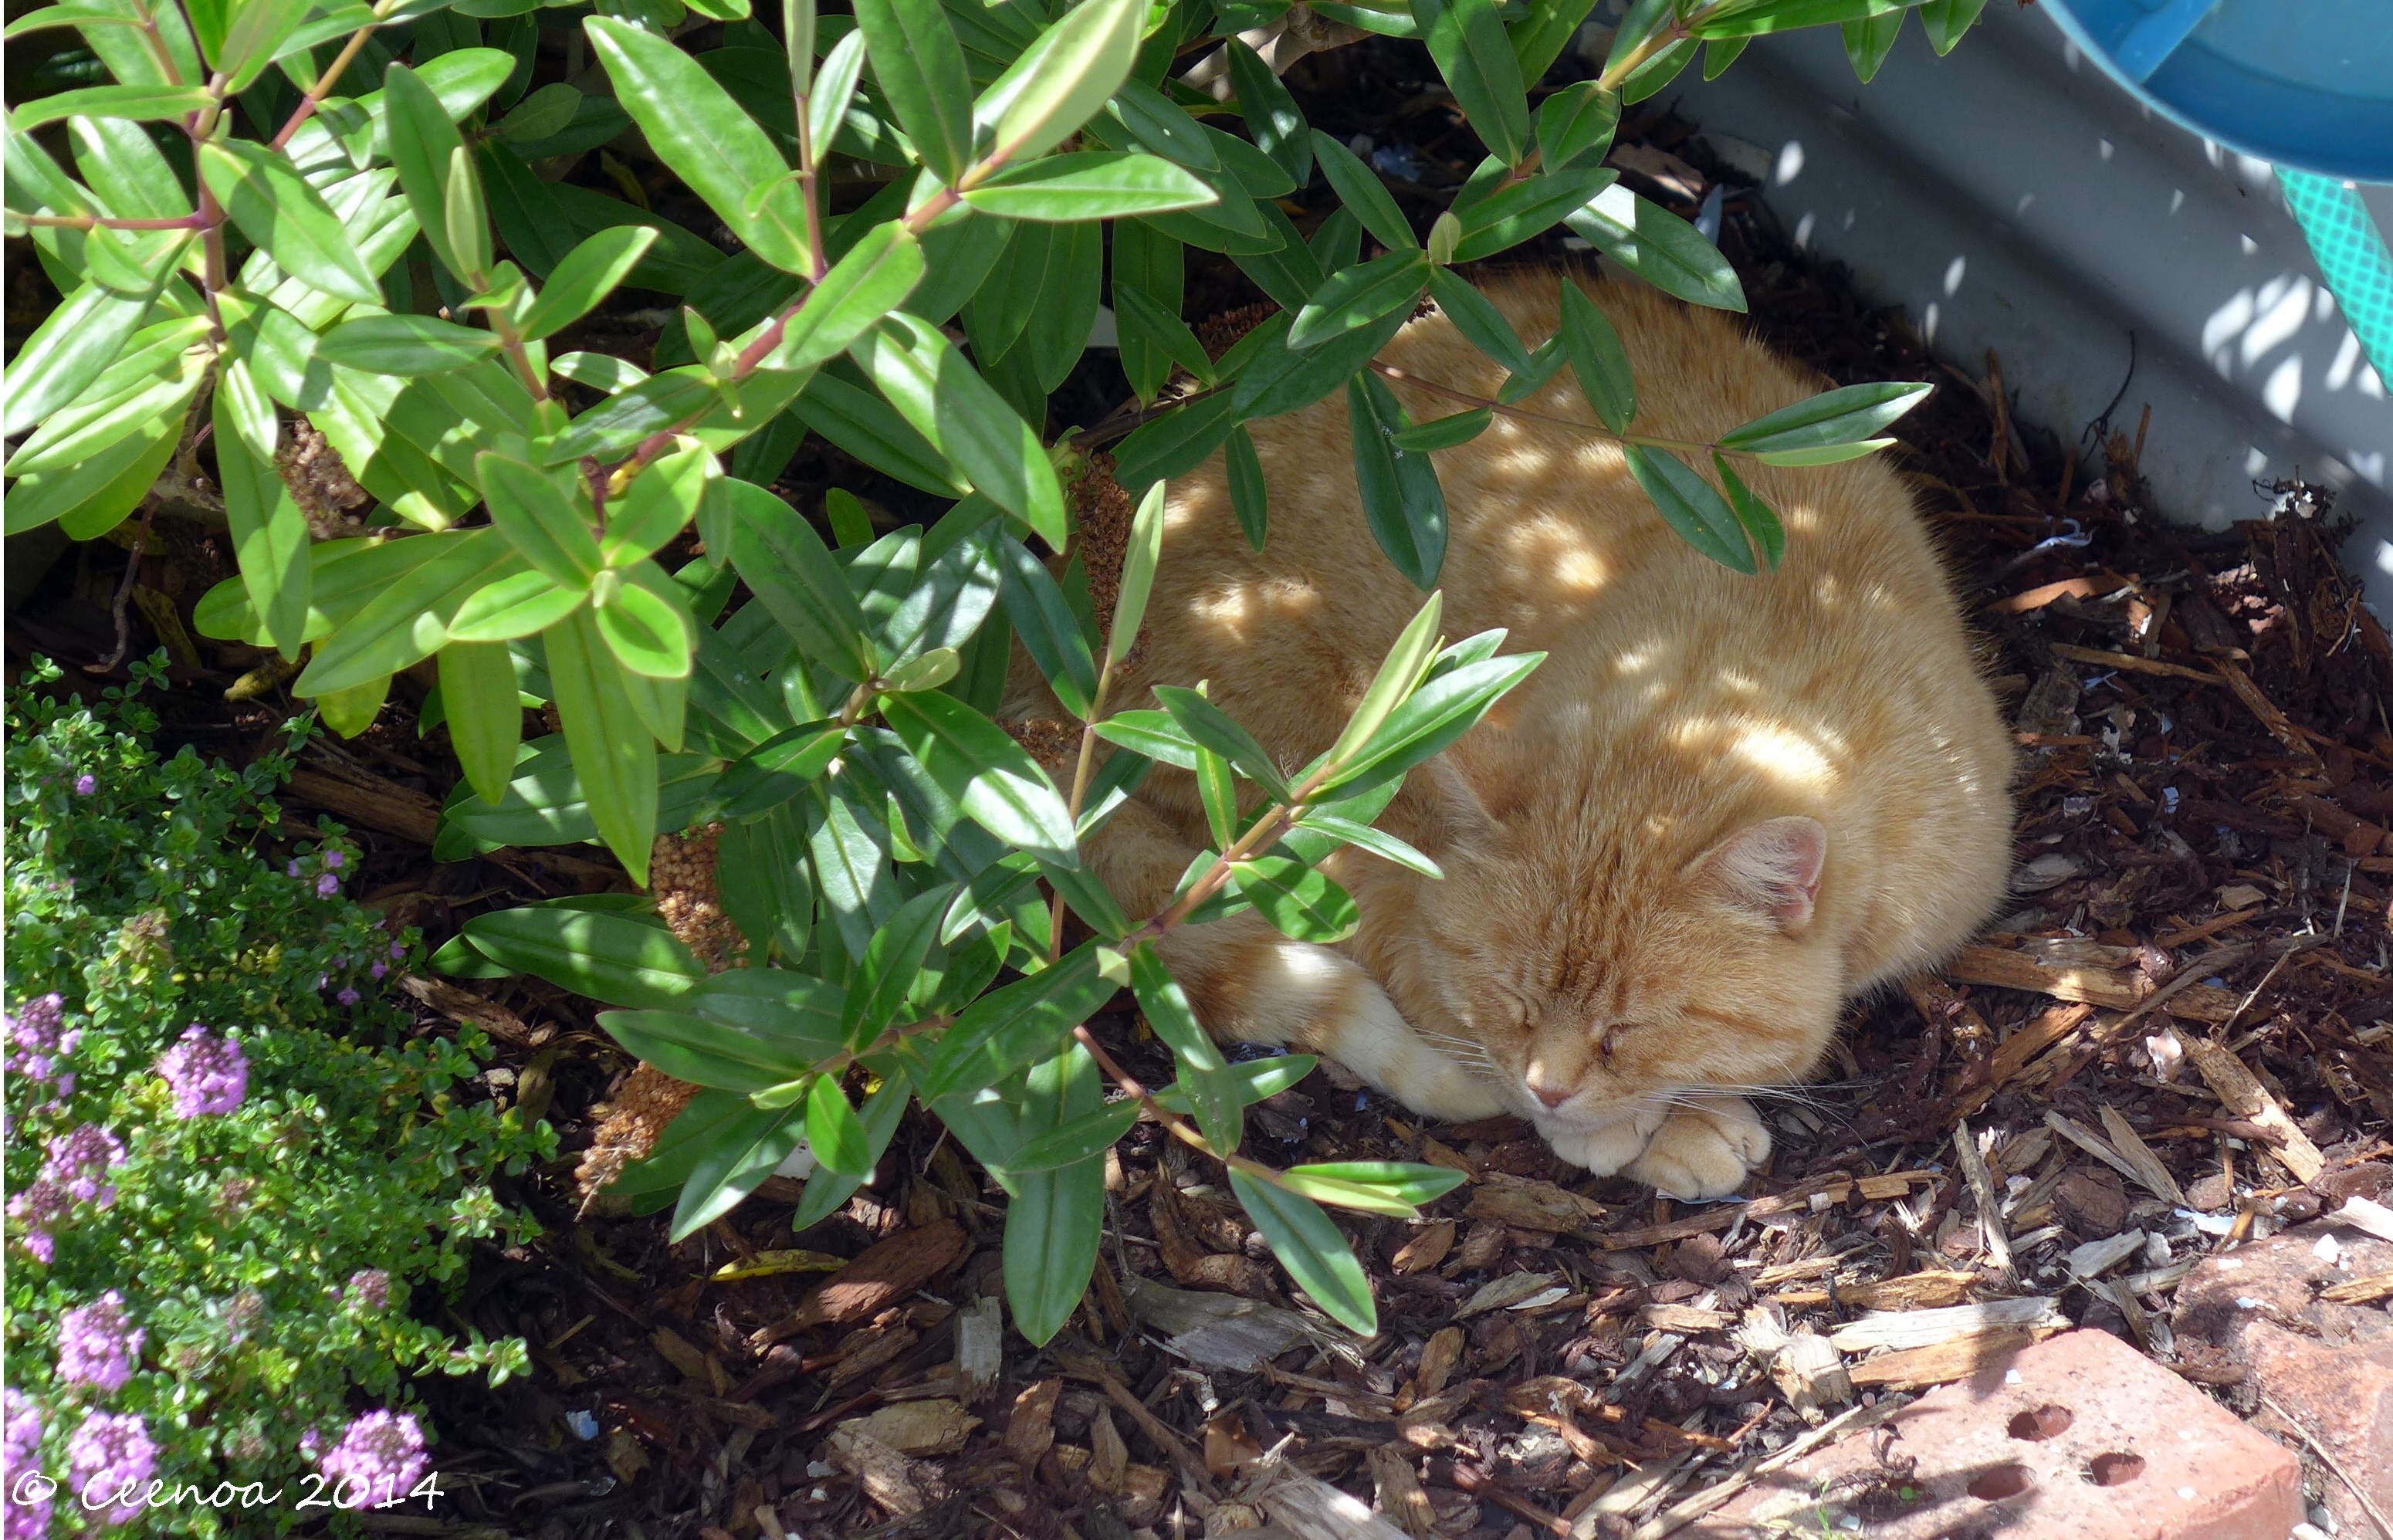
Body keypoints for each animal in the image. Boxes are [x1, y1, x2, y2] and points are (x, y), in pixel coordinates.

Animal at [1014, 271, 2015, 1199]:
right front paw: (1649, 1129)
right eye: (1515, 1002)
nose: (1550, 1092)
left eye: (1625, 1034)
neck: (1751, 656)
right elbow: (1429, 981)